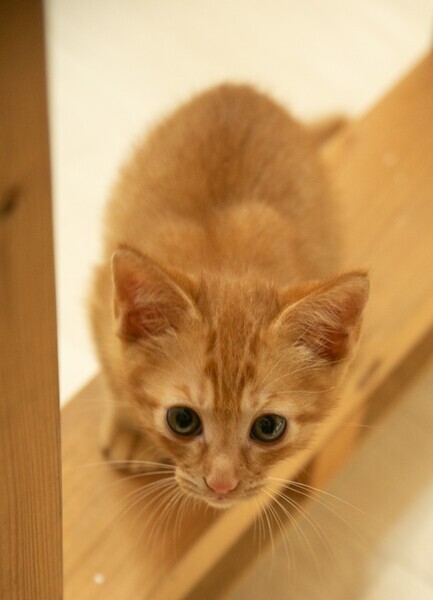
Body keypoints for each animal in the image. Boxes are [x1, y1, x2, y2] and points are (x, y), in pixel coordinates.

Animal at [89, 84, 368, 509]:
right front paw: (130, 427)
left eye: (269, 427)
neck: (226, 261)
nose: (222, 484)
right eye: (182, 420)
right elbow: (114, 371)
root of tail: (242, 88)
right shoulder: (97, 298)